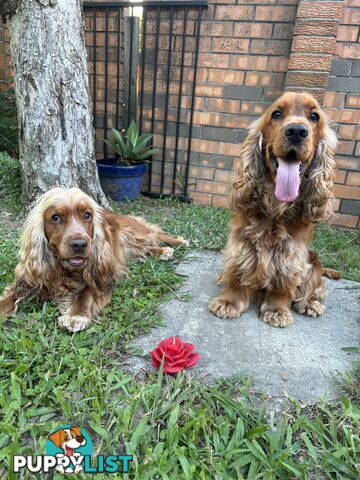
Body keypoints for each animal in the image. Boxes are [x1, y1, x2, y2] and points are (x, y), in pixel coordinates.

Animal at [0, 187, 188, 330]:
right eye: (56, 217)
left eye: (87, 215)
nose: (80, 244)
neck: (65, 270)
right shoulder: (30, 279)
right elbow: (10, 296)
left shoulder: (102, 273)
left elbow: (87, 291)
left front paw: (76, 316)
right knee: (142, 248)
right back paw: (162, 252)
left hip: (135, 231)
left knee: (156, 233)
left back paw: (178, 242)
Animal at [210, 92, 338, 328]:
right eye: (277, 114)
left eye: (314, 116)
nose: (296, 131)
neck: (276, 207)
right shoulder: (240, 242)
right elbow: (237, 271)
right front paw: (229, 301)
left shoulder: (292, 253)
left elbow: (285, 281)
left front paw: (277, 310)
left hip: (313, 262)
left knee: (315, 286)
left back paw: (310, 304)